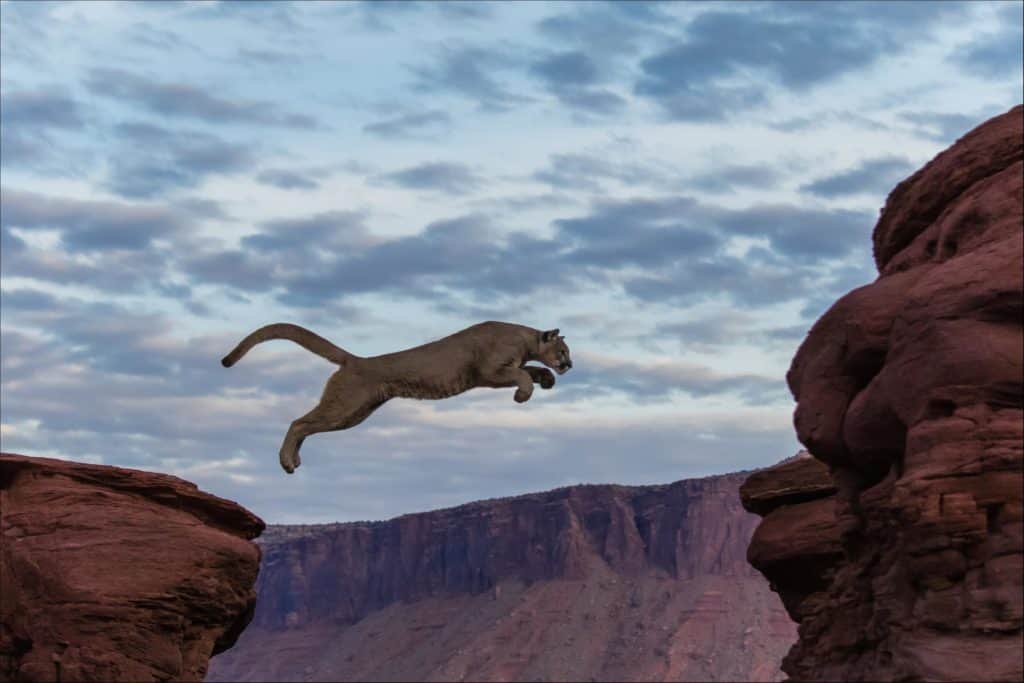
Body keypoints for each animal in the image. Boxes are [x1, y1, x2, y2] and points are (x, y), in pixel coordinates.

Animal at [221, 321, 573, 473]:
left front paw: (547, 379)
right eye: (563, 351)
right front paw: (523, 394)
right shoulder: (489, 371)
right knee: (298, 422)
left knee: (307, 425)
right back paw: (286, 461)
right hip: (346, 406)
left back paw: (293, 460)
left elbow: (530, 369)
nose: (569, 365)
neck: (522, 338)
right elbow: (522, 374)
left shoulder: (506, 367)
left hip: (356, 411)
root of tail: (355, 360)